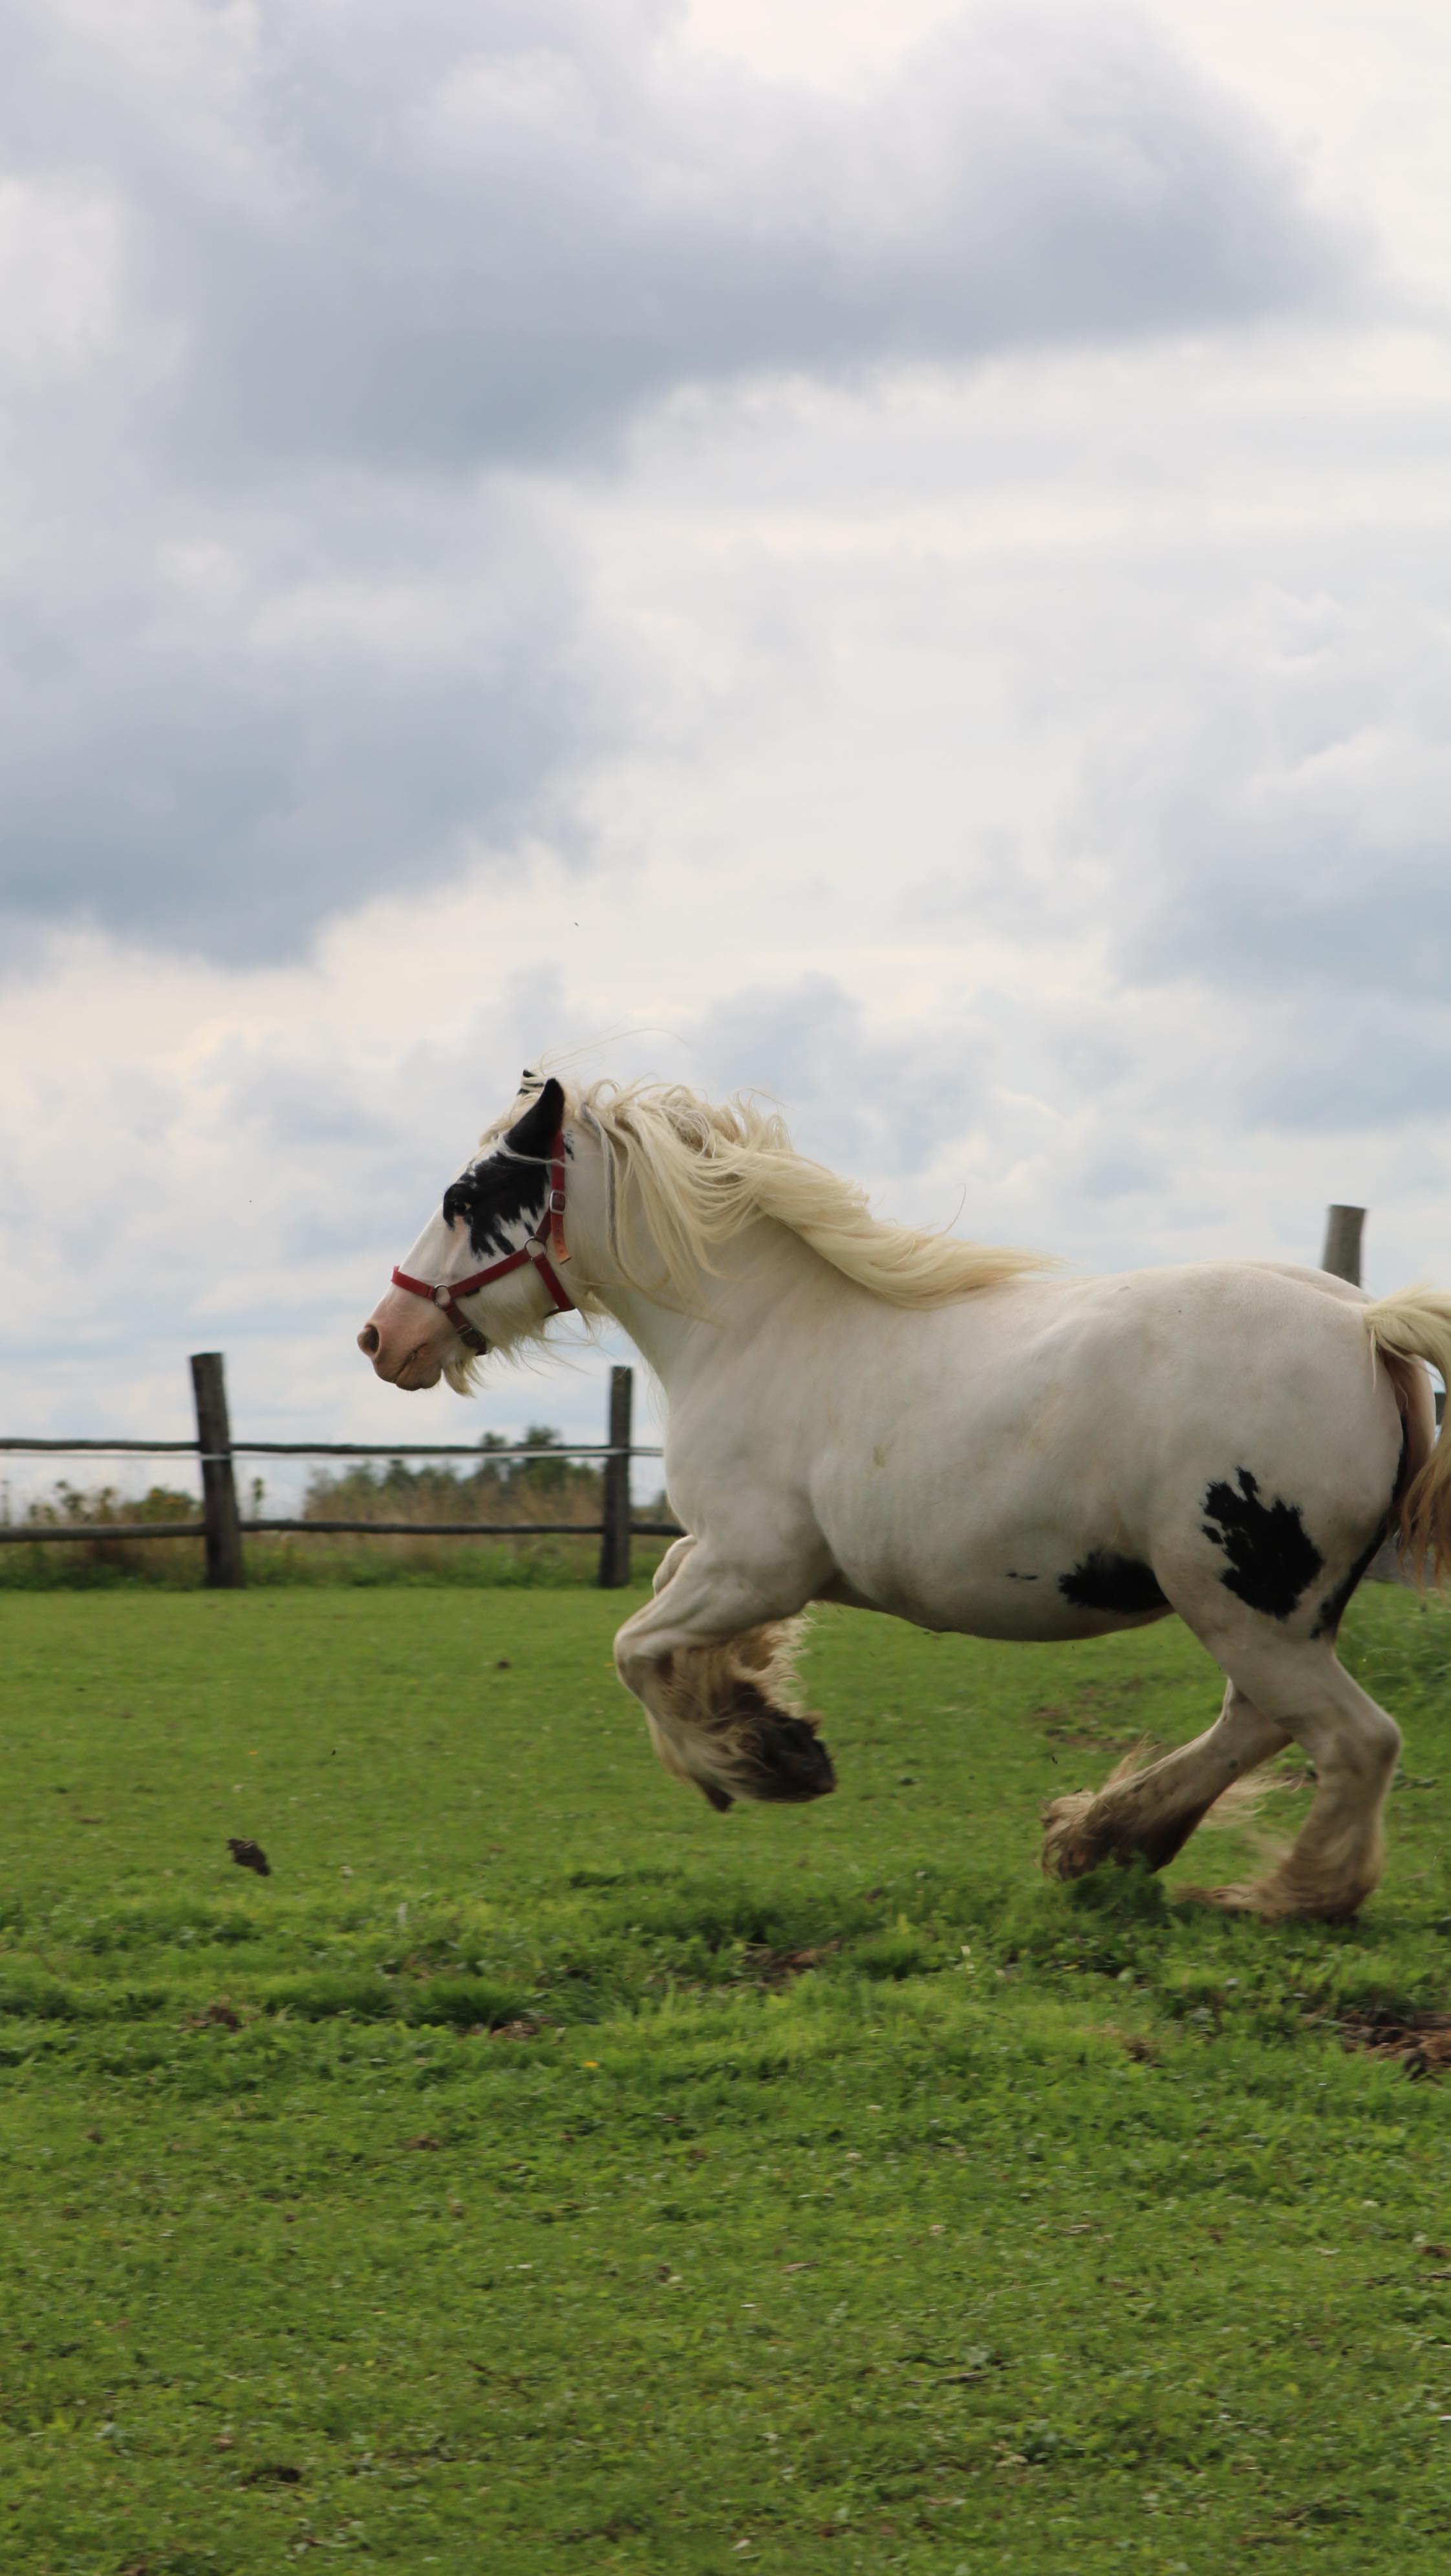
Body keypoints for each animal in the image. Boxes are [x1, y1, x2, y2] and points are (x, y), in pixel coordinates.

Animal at [358, 1070, 1451, 1923]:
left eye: (465, 1195)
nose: (383, 1338)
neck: (757, 1331)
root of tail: (1367, 1325)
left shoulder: (755, 1566)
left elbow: (634, 1650)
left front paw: (762, 1763)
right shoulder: (725, 1560)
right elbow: (662, 1614)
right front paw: (759, 1719)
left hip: (1245, 1607)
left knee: (1354, 1741)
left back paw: (1281, 1897)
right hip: (1268, 1614)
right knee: (1258, 1726)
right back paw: (1098, 1840)